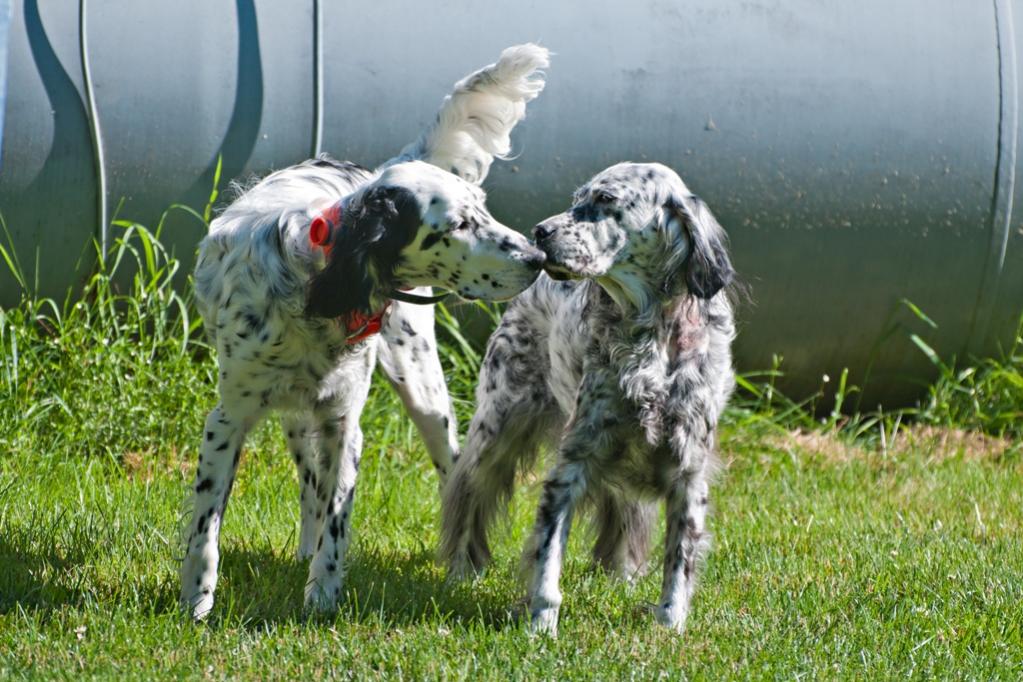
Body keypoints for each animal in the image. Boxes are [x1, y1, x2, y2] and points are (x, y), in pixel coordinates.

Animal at [184, 43, 552, 617]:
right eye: (457, 225)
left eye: (484, 210)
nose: (537, 258)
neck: (316, 281)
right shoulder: (229, 418)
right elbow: (207, 525)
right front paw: (196, 602)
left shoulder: (344, 423)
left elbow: (338, 519)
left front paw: (322, 595)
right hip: (296, 418)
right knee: (308, 485)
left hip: (423, 389)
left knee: (452, 472)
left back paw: (461, 566)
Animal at [439, 162, 736, 638]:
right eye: (576, 198)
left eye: (605, 200)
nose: (539, 232)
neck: (649, 335)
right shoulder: (573, 464)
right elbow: (547, 557)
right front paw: (541, 626)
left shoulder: (687, 471)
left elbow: (679, 561)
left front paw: (669, 625)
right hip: (497, 431)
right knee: (468, 494)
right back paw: (462, 570)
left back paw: (622, 575)